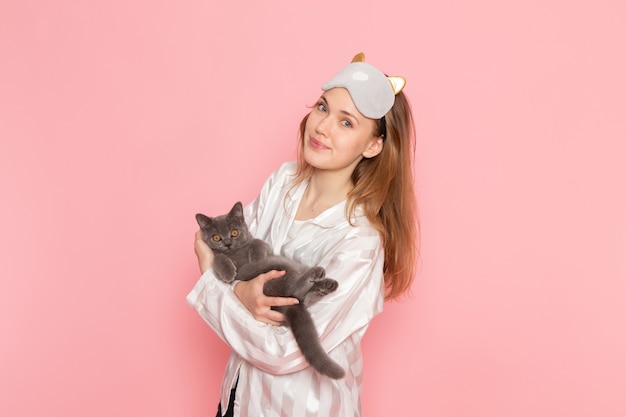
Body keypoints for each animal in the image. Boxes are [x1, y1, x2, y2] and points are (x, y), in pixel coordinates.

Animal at [195, 202, 344, 380]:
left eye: (234, 232)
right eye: (216, 237)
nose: (227, 243)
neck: (236, 253)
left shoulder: (264, 246)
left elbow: (258, 242)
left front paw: (257, 256)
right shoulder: (218, 258)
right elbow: (218, 258)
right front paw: (228, 273)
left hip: (284, 264)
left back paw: (324, 281)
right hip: (277, 273)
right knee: (296, 293)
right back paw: (319, 280)